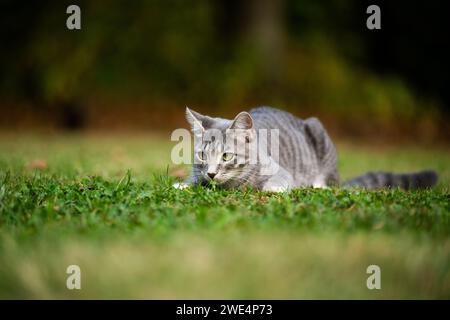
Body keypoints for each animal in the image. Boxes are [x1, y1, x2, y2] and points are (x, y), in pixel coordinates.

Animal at [174, 105, 438, 192]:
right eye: (202, 155)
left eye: (227, 155)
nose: (211, 173)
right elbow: (193, 179)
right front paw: (184, 183)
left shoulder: (280, 171)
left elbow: (275, 182)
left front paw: (272, 189)